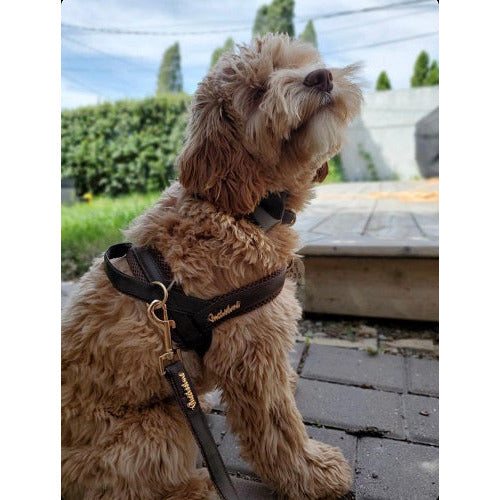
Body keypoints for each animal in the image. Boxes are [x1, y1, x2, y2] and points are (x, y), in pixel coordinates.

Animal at [62, 33, 362, 498]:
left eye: (300, 62)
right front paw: (312, 473)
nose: (321, 77)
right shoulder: (252, 350)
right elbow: (279, 427)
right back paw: (199, 486)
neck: (239, 211)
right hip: (162, 426)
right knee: (127, 488)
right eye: (257, 92)